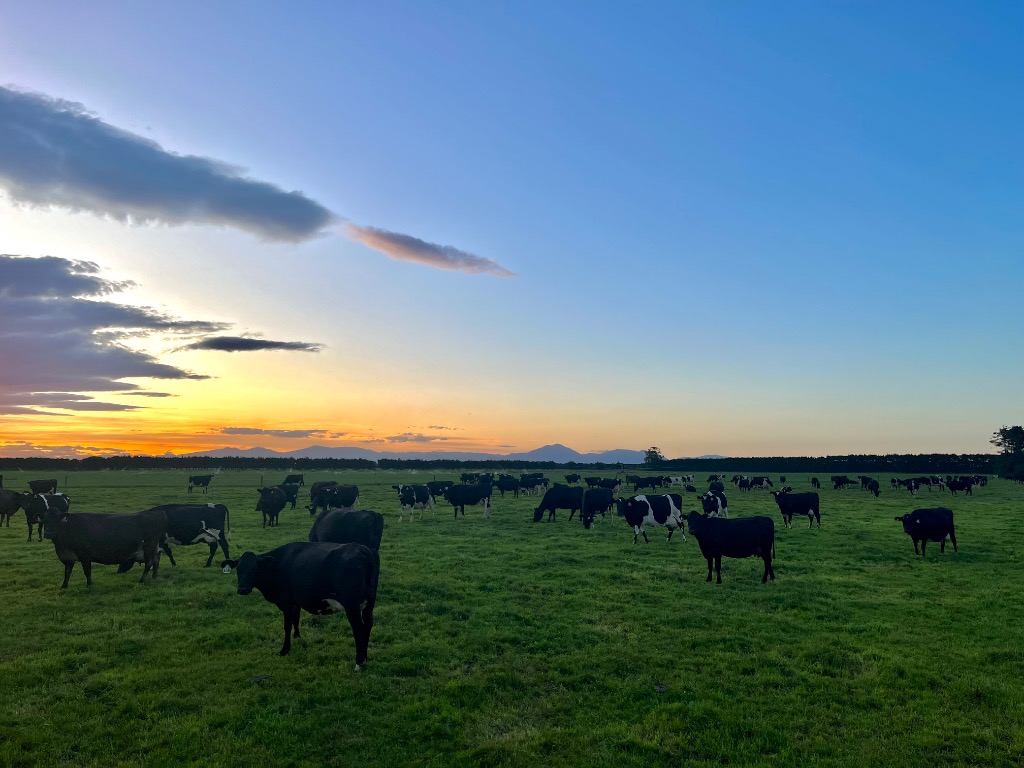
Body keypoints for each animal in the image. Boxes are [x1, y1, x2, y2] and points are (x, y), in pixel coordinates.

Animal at [223, 542, 379, 669]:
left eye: (255, 569)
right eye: (238, 569)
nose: (242, 589)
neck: (277, 564)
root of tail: (362, 548)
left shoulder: (286, 601)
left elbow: (287, 625)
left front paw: (285, 649)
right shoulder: (295, 601)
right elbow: (295, 620)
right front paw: (297, 637)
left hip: (352, 606)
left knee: (359, 629)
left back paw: (359, 663)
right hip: (369, 603)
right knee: (368, 625)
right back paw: (365, 659)